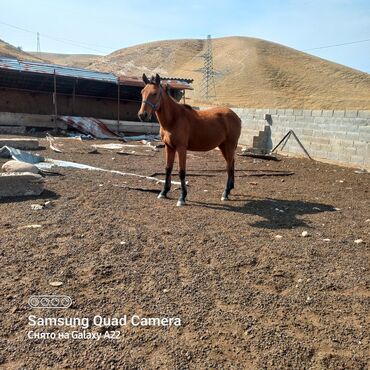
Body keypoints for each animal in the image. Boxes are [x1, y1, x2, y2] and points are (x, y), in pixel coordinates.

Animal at [137, 72, 241, 205]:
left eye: (154, 93)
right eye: (142, 92)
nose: (142, 115)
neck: (174, 118)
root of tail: (236, 116)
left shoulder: (181, 148)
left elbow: (181, 172)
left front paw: (182, 197)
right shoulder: (169, 147)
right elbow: (168, 169)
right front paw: (164, 192)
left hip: (229, 145)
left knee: (229, 167)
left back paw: (225, 193)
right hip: (223, 146)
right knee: (231, 164)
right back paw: (230, 189)